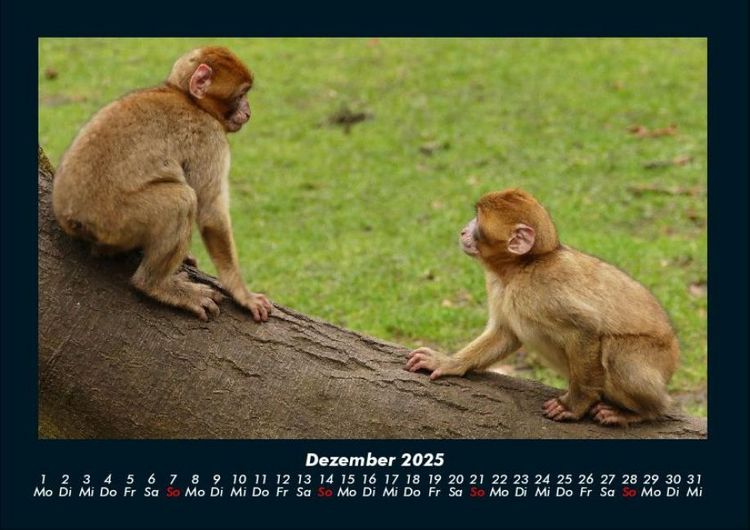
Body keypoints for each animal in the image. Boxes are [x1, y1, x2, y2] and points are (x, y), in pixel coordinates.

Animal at [52, 47, 273, 323]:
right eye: (241, 94)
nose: (249, 111)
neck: (187, 97)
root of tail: (69, 218)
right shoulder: (211, 138)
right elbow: (210, 212)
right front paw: (243, 294)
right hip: (116, 219)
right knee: (182, 200)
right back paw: (155, 285)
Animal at [405, 189, 680, 427]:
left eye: (478, 222)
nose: (463, 232)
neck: (521, 268)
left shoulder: (540, 290)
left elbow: (586, 328)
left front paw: (575, 405)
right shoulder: (498, 285)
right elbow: (506, 333)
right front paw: (448, 362)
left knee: (615, 353)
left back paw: (645, 411)